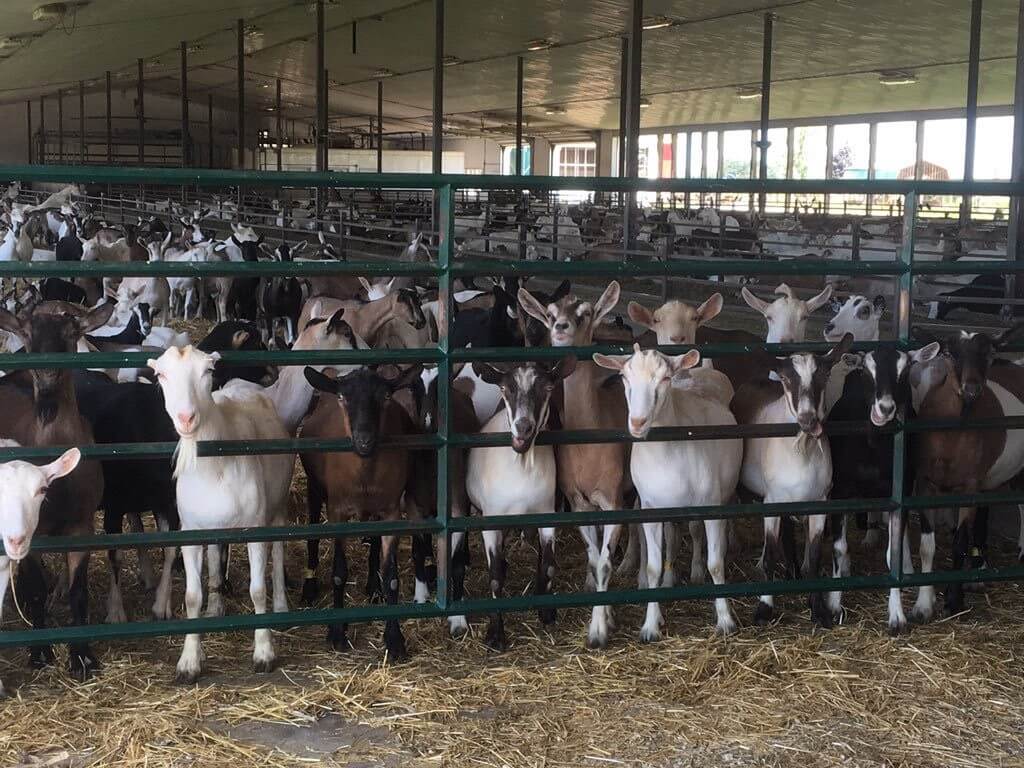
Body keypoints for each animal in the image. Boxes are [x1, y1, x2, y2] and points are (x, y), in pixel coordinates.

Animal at [146, 346, 294, 684]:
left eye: (208, 371)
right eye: (161, 375)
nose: (186, 418)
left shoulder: (255, 528)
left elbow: (257, 591)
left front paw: (264, 653)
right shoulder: (190, 532)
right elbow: (191, 596)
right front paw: (190, 660)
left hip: (278, 505)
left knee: (279, 551)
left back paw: (281, 606)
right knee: (215, 558)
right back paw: (215, 607)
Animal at [464, 360, 577, 651]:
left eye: (548, 388)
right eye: (505, 388)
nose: (523, 427)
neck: (521, 465)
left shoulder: (547, 513)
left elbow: (548, 564)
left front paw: (546, 612)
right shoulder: (491, 521)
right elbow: (494, 577)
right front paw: (496, 635)